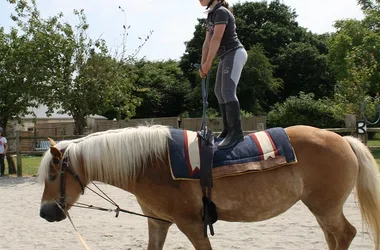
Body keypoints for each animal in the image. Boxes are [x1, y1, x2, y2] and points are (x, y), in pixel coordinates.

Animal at [36, 124, 380, 249]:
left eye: (53, 175)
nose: (45, 213)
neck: (151, 164)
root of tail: (344, 140)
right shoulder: (158, 223)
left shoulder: (192, 224)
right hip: (321, 209)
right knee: (333, 236)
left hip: (326, 207)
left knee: (344, 234)